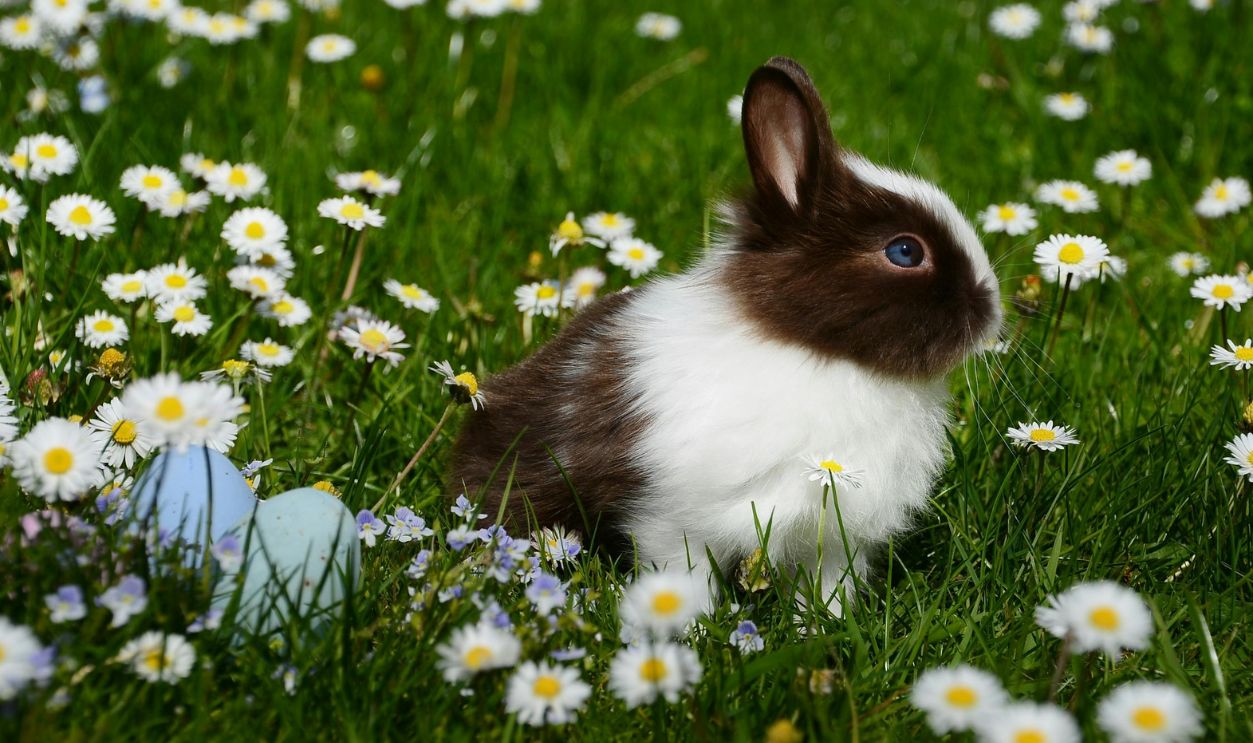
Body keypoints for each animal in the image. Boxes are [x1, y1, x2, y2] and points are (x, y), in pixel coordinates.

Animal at [451, 56, 1002, 613]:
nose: (992, 309)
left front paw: (821, 624)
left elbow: (827, 588)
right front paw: (690, 626)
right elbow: (682, 579)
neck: (818, 354)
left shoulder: (832, 537)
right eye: (905, 252)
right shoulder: (673, 520)